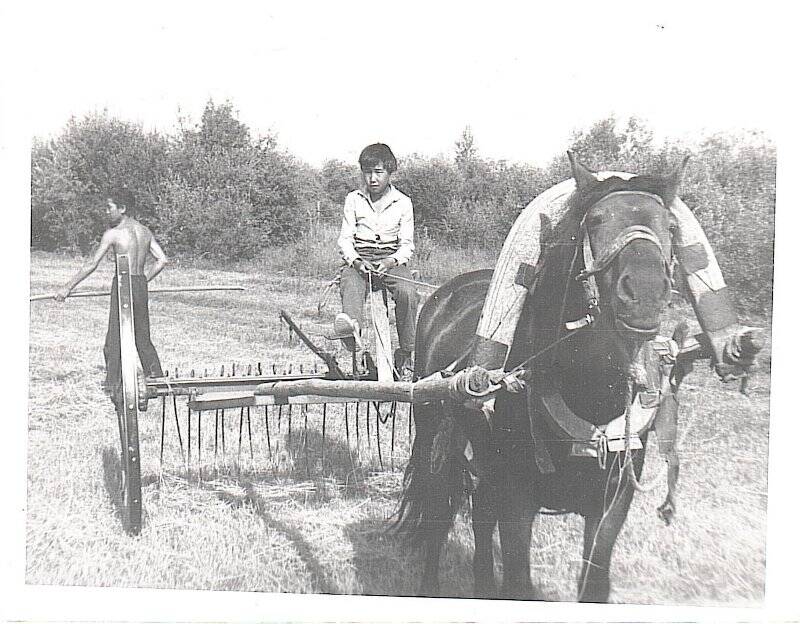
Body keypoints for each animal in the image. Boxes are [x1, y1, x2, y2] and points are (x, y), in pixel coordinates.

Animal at [396, 151, 684, 600]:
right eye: (595, 220)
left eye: (670, 227)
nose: (645, 293)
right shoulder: (518, 501)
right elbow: (517, 580)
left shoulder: (612, 505)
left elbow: (594, 583)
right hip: (433, 434)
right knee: (437, 506)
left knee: (480, 516)